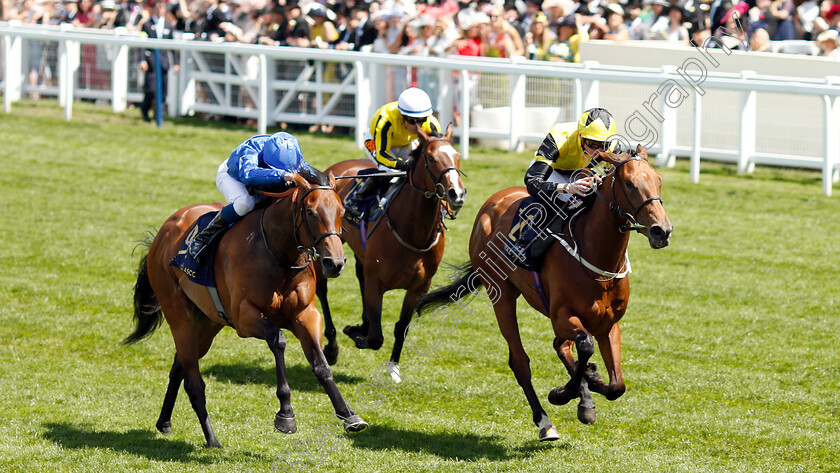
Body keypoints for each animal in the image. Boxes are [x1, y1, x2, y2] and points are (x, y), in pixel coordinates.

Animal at [123, 169, 366, 446]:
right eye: (311, 212)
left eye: (340, 211)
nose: (334, 263)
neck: (280, 254)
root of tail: (164, 231)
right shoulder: (244, 318)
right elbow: (278, 340)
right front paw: (286, 414)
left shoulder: (306, 315)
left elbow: (322, 365)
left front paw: (348, 415)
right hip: (179, 315)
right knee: (194, 382)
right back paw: (212, 440)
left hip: (207, 323)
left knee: (179, 366)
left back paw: (164, 422)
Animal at [316, 122, 466, 380]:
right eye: (430, 158)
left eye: (457, 156)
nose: (456, 193)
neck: (412, 231)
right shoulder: (376, 283)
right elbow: (376, 338)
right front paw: (357, 333)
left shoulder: (418, 287)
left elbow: (401, 328)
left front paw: (393, 367)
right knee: (322, 290)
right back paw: (332, 346)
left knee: (359, 276)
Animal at [416, 146, 672, 440]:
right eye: (629, 184)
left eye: (659, 180)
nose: (662, 231)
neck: (596, 253)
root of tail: (493, 201)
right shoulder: (562, 316)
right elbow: (585, 346)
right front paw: (566, 395)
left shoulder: (608, 324)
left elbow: (616, 385)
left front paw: (590, 382)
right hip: (501, 293)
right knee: (521, 361)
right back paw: (545, 422)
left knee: (562, 347)